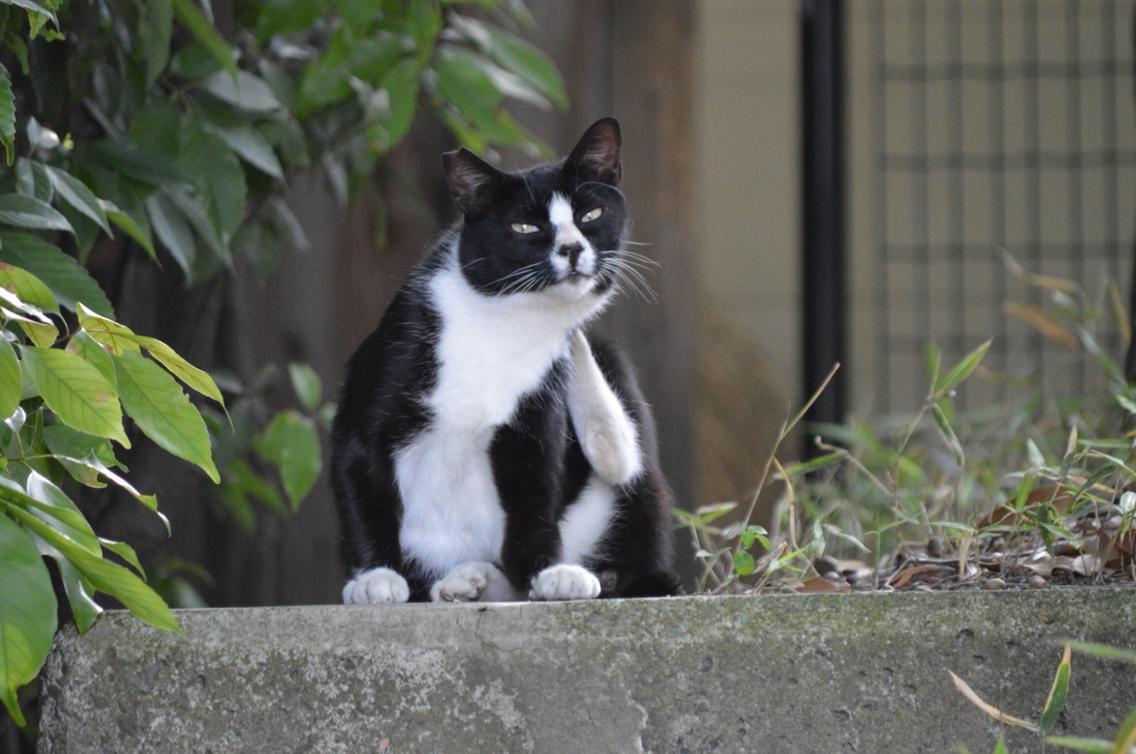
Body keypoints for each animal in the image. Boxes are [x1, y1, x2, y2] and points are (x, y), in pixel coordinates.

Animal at [331, 118, 677, 604]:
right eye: (524, 226)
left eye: (590, 216)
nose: (571, 248)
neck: (505, 323)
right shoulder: (382, 374)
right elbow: (360, 473)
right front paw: (374, 577)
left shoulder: (535, 416)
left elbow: (535, 494)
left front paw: (549, 572)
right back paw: (460, 583)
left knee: (629, 470)